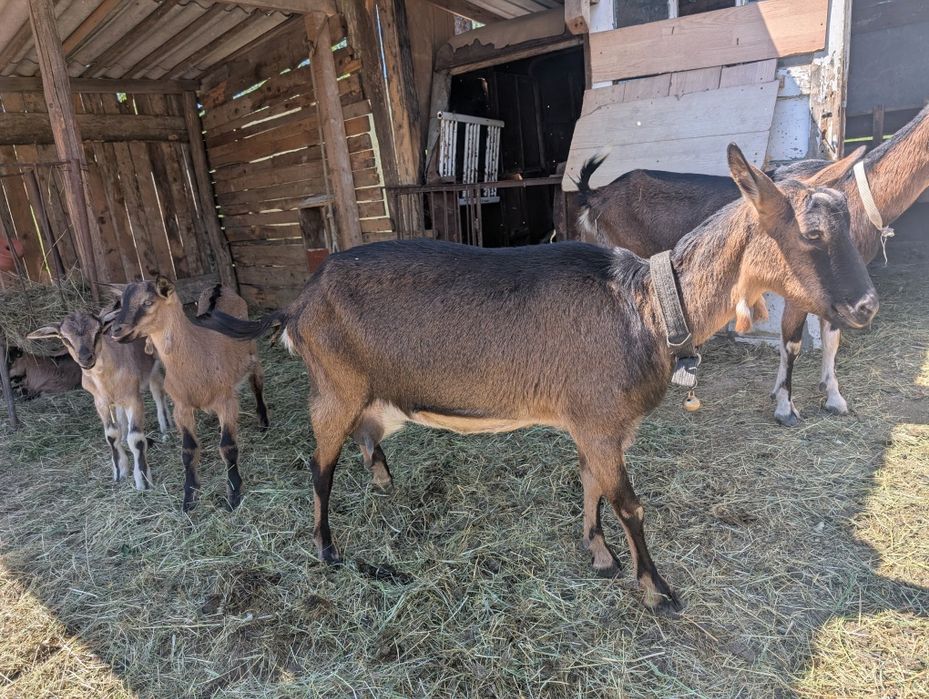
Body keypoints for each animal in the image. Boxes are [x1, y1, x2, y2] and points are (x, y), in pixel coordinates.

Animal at [27, 312, 170, 490]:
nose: (86, 358)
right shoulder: (100, 402)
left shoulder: (134, 398)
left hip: (158, 362)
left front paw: (143, 481)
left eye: (97, 332)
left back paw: (166, 427)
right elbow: (111, 435)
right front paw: (119, 472)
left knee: (159, 391)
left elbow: (136, 439)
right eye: (65, 338)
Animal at [108, 280, 269, 511]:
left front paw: (233, 495)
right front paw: (189, 497)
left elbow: (228, 447)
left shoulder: (227, 401)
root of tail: (218, 286)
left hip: (252, 354)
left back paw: (263, 421)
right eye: (121, 302)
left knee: (257, 383)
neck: (197, 354)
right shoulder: (181, 407)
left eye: (148, 302)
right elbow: (188, 451)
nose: (116, 330)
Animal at [196, 144, 876, 613]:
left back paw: (385, 484)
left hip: (371, 392)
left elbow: (592, 484)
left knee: (365, 436)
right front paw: (657, 589)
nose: (866, 306)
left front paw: (597, 552)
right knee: (318, 463)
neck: (648, 308)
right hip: (332, 385)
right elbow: (630, 503)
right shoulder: (599, 421)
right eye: (812, 232)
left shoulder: (602, 425)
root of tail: (297, 303)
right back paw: (327, 548)